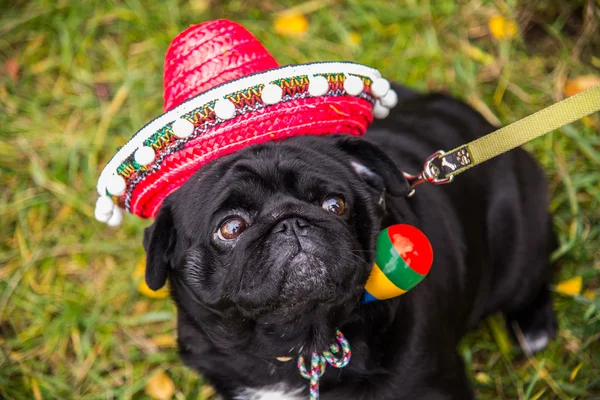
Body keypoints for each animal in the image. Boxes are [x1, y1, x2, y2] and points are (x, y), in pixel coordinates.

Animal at [142, 86, 556, 398]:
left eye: (334, 204)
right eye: (230, 228)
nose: (290, 222)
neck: (297, 343)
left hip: (521, 250)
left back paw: (535, 329)